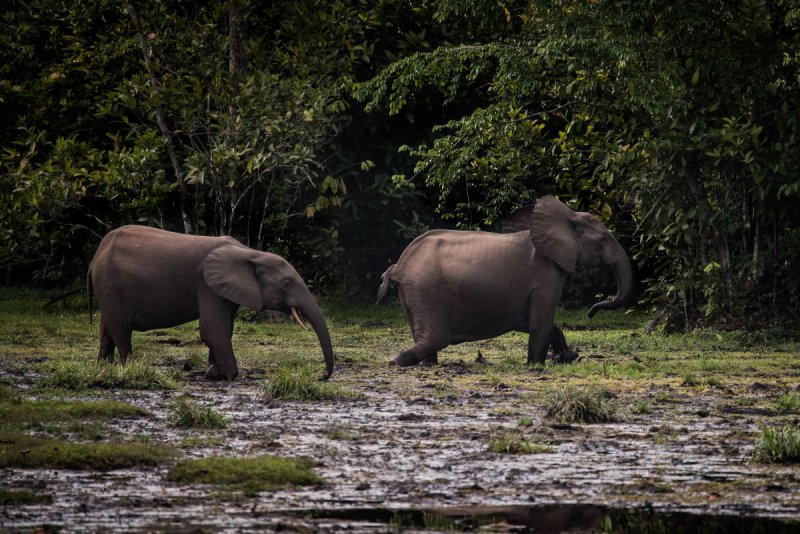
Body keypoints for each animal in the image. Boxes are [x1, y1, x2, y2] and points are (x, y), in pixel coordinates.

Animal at [87, 225, 334, 382]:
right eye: (286, 283)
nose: (322, 376)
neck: (251, 253)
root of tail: (95, 255)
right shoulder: (207, 285)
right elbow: (213, 330)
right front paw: (228, 376)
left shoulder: (223, 289)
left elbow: (223, 330)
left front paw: (213, 373)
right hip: (110, 283)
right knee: (120, 329)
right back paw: (129, 369)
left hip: (109, 288)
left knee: (106, 330)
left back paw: (103, 369)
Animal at [378, 196, 636, 368]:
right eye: (603, 239)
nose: (590, 312)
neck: (567, 216)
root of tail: (399, 265)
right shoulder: (546, 275)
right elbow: (540, 323)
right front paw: (536, 366)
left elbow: (540, 324)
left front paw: (567, 358)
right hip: (427, 290)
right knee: (436, 337)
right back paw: (396, 360)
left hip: (414, 292)